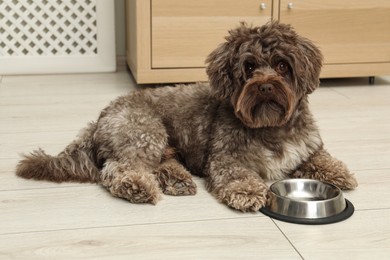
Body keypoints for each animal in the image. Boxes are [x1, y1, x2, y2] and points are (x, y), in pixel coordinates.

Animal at [16, 20, 356, 211]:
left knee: (157, 164)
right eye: (248, 67)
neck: (270, 125)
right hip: (144, 132)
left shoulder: (306, 146)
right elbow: (239, 176)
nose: (265, 85)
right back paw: (139, 187)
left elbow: (322, 157)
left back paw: (177, 180)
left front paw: (340, 173)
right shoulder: (227, 159)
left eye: (283, 65)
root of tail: (100, 117)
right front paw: (248, 192)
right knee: (117, 169)